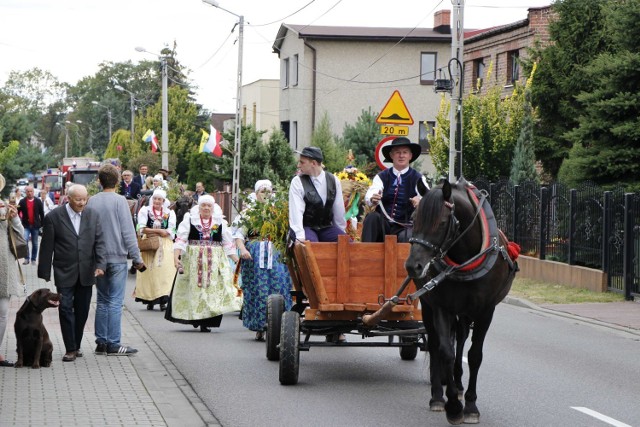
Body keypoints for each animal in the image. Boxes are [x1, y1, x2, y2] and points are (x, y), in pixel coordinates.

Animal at [404, 179, 520, 426]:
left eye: (442, 222)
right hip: (428, 307)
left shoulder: (485, 311)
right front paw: (454, 407)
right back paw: (438, 396)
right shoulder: (441, 307)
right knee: (436, 344)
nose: (413, 266)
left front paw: (471, 405)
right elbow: (445, 351)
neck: (465, 258)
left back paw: (457, 384)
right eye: (414, 217)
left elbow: (474, 355)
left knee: (462, 337)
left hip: (466, 312)